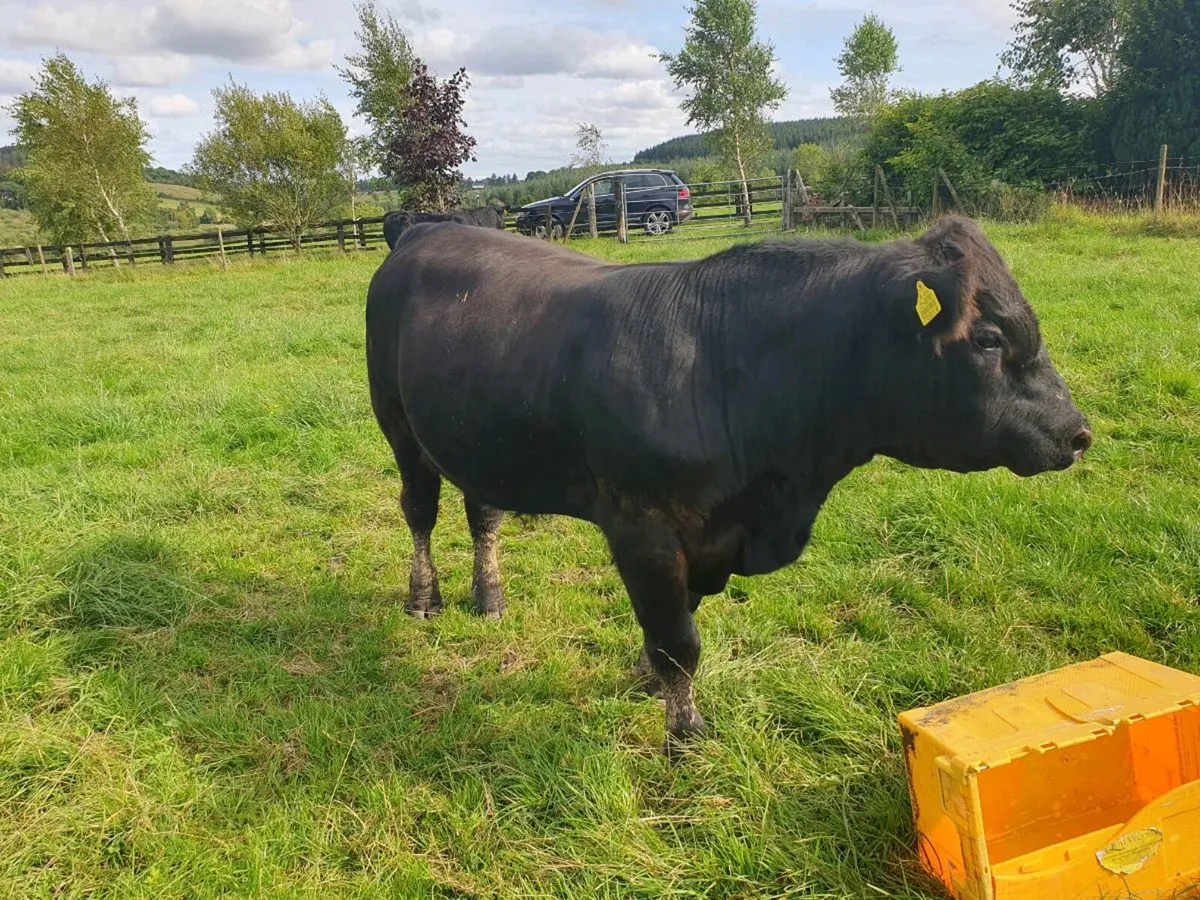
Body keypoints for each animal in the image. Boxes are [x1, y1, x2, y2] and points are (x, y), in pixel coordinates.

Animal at [364, 215, 1092, 755]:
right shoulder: (643, 527)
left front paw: (649, 680)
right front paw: (684, 733)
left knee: (482, 512)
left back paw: (489, 596)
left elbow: (678, 622)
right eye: (990, 338)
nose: (1077, 432)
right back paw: (424, 598)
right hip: (398, 424)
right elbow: (679, 642)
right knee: (420, 511)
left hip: (474, 436)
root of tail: (426, 226)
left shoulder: (707, 533)